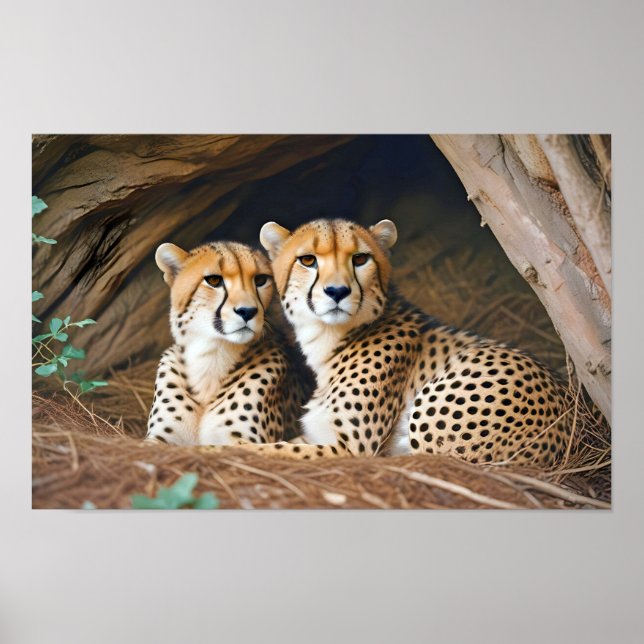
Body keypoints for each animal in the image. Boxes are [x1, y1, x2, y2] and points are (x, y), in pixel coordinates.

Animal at [146, 240, 306, 446]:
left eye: (260, 280)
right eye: (214, 281)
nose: (247, 311)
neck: (212, 355)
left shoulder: (241, 441)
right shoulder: (159, 439)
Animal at [215, 217, 571, 465]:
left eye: (360, 259)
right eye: (308, 260)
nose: (337, 291)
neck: (330, 340)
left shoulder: (351, 449)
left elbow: (266, 450)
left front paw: (212, 451)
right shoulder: (321, 437)